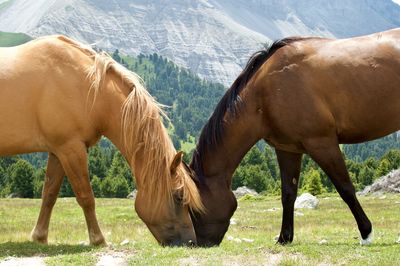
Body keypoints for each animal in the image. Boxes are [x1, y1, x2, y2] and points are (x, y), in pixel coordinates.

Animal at [0, 35, 203, 247]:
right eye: (178, 197)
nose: (191, 242)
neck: (86, 87)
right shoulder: (71, 149)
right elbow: (86, 197)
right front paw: (98, 240)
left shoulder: (58, 151)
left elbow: (49, 194)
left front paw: (39, 237)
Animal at [189, 28, 400, 246]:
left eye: (193, 208)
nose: (199, 243)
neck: (266, 92)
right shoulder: (287, 149)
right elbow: (288, 194)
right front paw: (284, 237)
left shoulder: (322, 143)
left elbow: (346, 188)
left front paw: (366, 233)